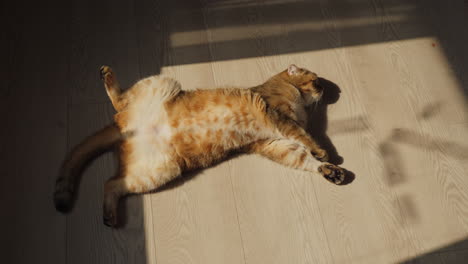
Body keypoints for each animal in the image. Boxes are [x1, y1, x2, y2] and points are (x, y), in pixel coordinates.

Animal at [54, 64, 348, 227]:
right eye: (316, 80)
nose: (327, 89)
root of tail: (123, 128)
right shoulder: (279, 118)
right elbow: (305, 138)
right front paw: (324, 152)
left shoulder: (272, 142)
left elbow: (301, 158)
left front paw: (329, 170)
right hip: (163, 82)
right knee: (119, 101)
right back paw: (107, 75)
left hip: (158, 170)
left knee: (111, 184)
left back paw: (110, 216)